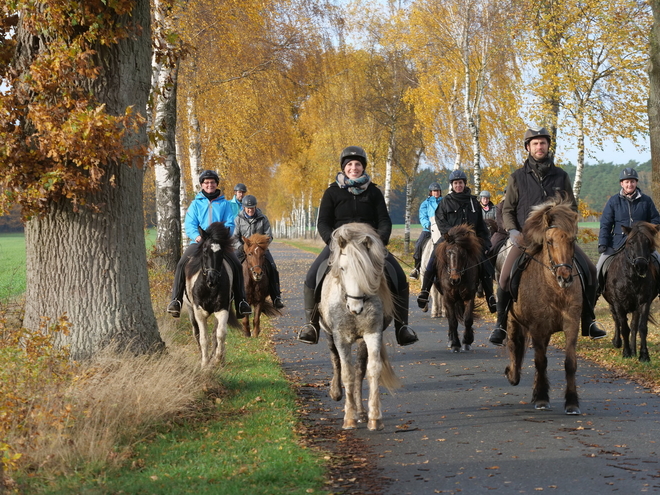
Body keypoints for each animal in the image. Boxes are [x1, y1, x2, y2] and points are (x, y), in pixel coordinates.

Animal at [183, 223, 240, 370]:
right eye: (205, 251)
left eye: (221, 253)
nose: (212, 279)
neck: (208, 288)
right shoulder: (199, 311)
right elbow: (203, 338)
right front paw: (205, 363)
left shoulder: (222, 309)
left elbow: (220, 334)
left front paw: (218, 359)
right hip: (190, 309)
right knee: (196, 332)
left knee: (215, 331)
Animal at [502, 198, 580, 414]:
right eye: (550, 241)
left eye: (572, 240)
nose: (565, 277)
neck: (555, 290)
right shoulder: (537, 328)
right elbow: (540, 361)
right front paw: (543, 398)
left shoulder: (571, 324)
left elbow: (569, 363)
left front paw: (572, 402)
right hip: (513, 321)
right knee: (514, 345)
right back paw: (513, 375)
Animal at [604, 223, 660, 362]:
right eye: (631, 242)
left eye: (648, 242)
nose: (641, 266)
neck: (632, 277)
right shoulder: (618, 303)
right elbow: (624, 327)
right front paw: (626, 352)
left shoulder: (644, 302)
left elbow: (642, 328)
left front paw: (644, 355)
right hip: (612, 304)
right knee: (616, 320)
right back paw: (617, 342)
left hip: (635, 307)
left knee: (634, 326)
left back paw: (634, 350)